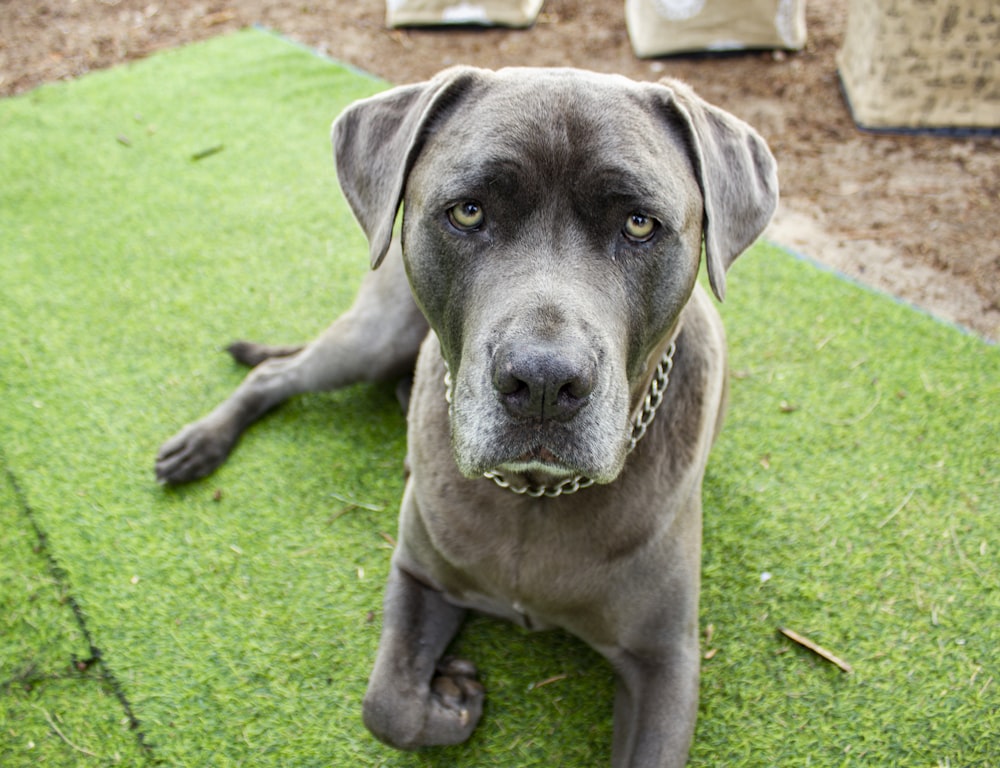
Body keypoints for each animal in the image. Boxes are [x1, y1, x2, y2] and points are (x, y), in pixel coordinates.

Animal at [156, 69, 776, 764]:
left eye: (640, 224)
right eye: (468, 212)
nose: (543, 381)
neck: (533, 495)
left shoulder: (666, 660)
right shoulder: (417, 572)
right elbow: (387, 705)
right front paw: (450, 699)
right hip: (375, 336)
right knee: (276, 373)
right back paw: (200, 445)